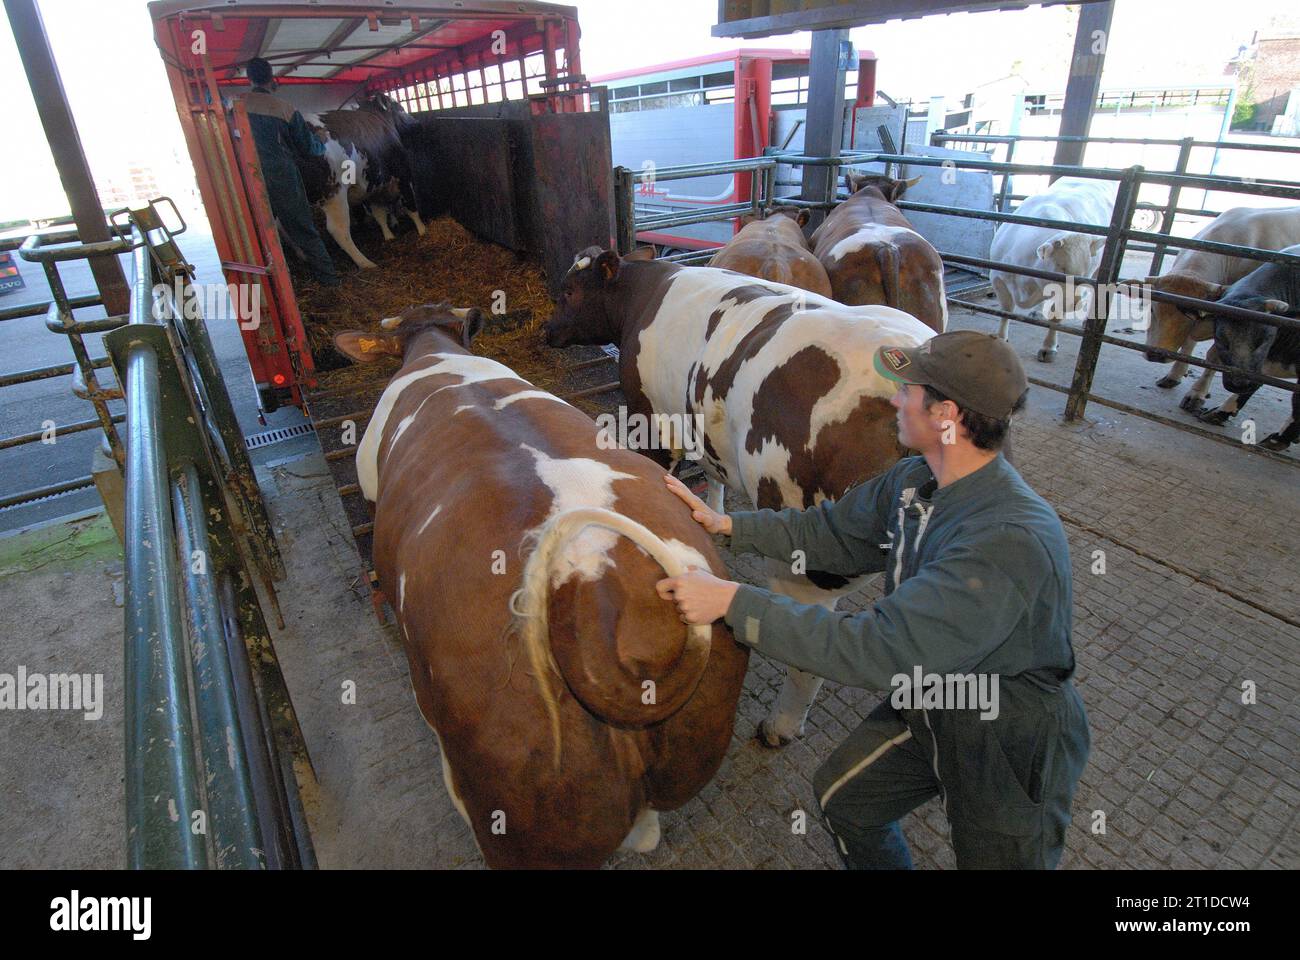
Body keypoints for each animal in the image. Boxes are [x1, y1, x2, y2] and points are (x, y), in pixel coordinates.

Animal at [297, 101, 423, 269]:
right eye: (400, 108)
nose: (416, 122)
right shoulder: (402, 175)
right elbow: (411, 206)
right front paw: (422, 230)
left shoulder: (374, 187)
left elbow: (380, 214)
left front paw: (389, 234)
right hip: (334, 194)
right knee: (338, 230)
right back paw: (365, 263)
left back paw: (304, 257)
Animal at [993, 175, 1118, 359]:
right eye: (1062, 269)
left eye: (1085, 273)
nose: (1075, 303)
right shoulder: (997, 277)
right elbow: (1006, 309)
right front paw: (1001, 338)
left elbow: (1056, 316)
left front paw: (1049, 347)